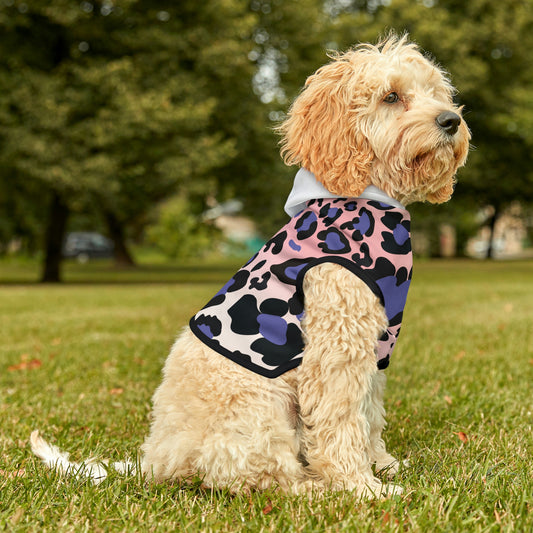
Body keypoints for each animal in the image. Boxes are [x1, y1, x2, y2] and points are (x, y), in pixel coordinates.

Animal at [31, 35, 468, 496]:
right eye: (391, 96)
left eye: (436, 93)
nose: (451, 120)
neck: (366, 199)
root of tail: (156, 460)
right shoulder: (337, 345)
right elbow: (341, 419)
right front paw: (361, 487)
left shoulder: (374, 348)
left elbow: (369, 413)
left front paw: (382, 464)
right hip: (259, 407)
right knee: (260, 476)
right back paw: (313, 487)